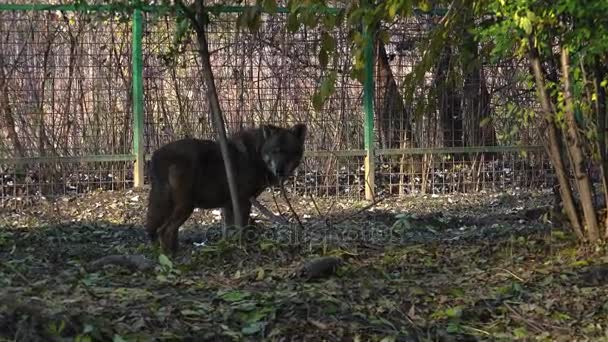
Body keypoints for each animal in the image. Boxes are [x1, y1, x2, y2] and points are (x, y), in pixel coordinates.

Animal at [142, 123, 304, 254]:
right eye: (275, 151)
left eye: (289, 152)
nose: (280, 170)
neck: (256, 155)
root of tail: (156, 155)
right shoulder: (243, 201)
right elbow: (242, 227)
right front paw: (243, 246)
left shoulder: (228, 204)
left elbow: (227, 230)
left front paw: (228, 246)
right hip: (186, 206)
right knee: (165, 230)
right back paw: (170, 258)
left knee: (167, 230)